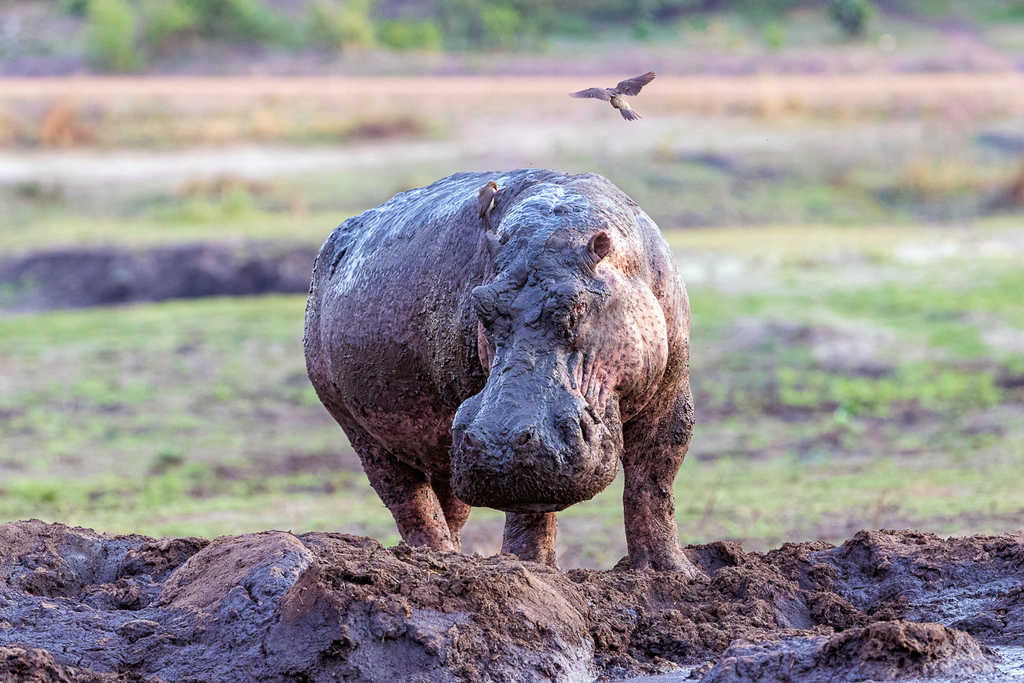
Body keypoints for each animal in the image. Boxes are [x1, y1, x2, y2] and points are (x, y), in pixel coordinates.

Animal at [303, 169, 700, 577]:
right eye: (481, 302)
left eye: (577, 307)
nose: (499, 442)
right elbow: (529, 512)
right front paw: (531, 569)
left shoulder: (672, 388)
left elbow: (654, 479)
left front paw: (672, 572)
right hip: (360, 430)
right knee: (409, 501)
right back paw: (434, 560)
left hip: (443, 450)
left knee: (448, 505)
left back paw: (454, 558)